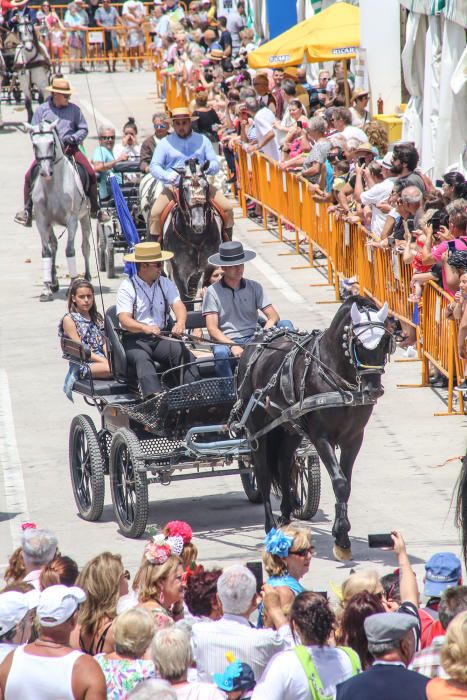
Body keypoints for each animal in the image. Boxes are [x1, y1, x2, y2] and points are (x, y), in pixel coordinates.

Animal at [27, 120, 93, 300]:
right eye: (34, 144)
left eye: (51, 143)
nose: (45, 172)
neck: (53, 185)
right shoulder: (42, 221)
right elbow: (46, 252)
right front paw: (46, 289)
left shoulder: (72, 220)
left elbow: (70, 250)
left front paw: (73, 285)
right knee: (54, 245)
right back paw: (54, 282)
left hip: (85, 218)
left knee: (85, 247)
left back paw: (87, 277)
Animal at [164, 160, 224, 302]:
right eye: (185, 188)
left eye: (206, 186)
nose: (198, 224)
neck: (195, 238)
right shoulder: (179, 273)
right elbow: (185, 301)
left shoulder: (209, 267)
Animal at [238, 296, 394, 564]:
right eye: (357, 342)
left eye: (384, 341)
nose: (373, 389)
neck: (335, 373)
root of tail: (255, 342)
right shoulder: (321, 438)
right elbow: (340, 482)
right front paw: (341, 538)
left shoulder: (354, 438)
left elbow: (346, 484)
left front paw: (341, 536)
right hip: (257, 430)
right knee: (263, 473)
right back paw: (270, 527)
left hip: (289, 428)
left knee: (284, 463)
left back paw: (286, 517)